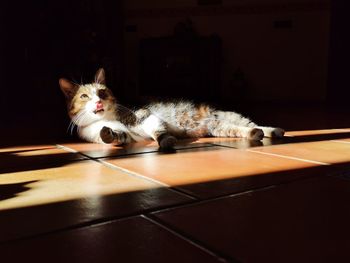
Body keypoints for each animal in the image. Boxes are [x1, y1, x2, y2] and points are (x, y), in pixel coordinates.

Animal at [59, 68, 284, 150]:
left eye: (102, 92)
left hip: (227, 116)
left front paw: (165, 140)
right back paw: (258, 134)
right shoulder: (119, 135)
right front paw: (108, 134)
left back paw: (274, 130)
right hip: (221, 128)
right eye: (84, 96)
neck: (105, 119)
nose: (98, 102)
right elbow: (115, 136)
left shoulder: (144, 116)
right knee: (245, 130)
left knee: (251, 122)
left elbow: (157, 130)